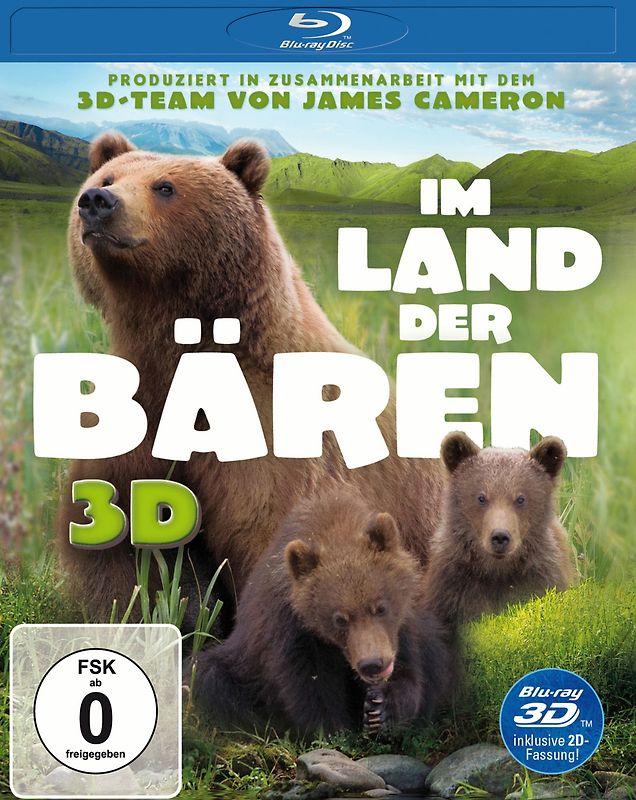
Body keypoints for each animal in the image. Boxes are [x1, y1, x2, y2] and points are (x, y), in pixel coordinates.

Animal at [59, 132, 445, 619]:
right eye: (108, 177)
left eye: (165, 187)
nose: (97, 201)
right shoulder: (136, 415)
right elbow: (121, 545)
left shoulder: (275, 443)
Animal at [190, 486, 454, 736]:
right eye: (340, 619)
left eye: (380, 607)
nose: (373, 664)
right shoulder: (294, 633)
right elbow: (310, 689)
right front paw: (335, 730)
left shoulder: (403, 628)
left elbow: (411, 673)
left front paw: (379, 708)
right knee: (212, 678)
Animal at [422, 432, 577, 625]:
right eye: (481, 497)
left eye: (520, 499)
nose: (500, 536)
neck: (497, 571)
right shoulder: (452, 587)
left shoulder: (542, 577)